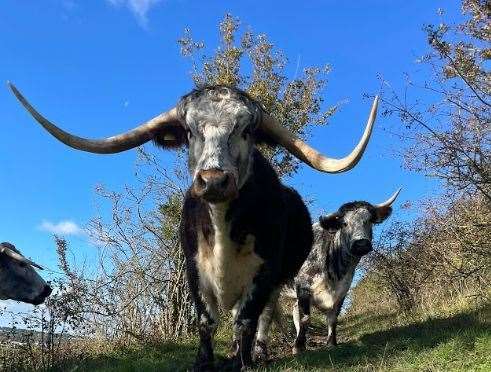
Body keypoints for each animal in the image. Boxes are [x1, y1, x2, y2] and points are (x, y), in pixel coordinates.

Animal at [292, 190, 400, 354]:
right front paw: (298, 347)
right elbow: (305, 317)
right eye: (344, 223)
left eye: (369, 220)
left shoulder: (342, 291)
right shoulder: (303, 286)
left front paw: (331, 343)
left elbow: (332, 319)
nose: (361, 244)